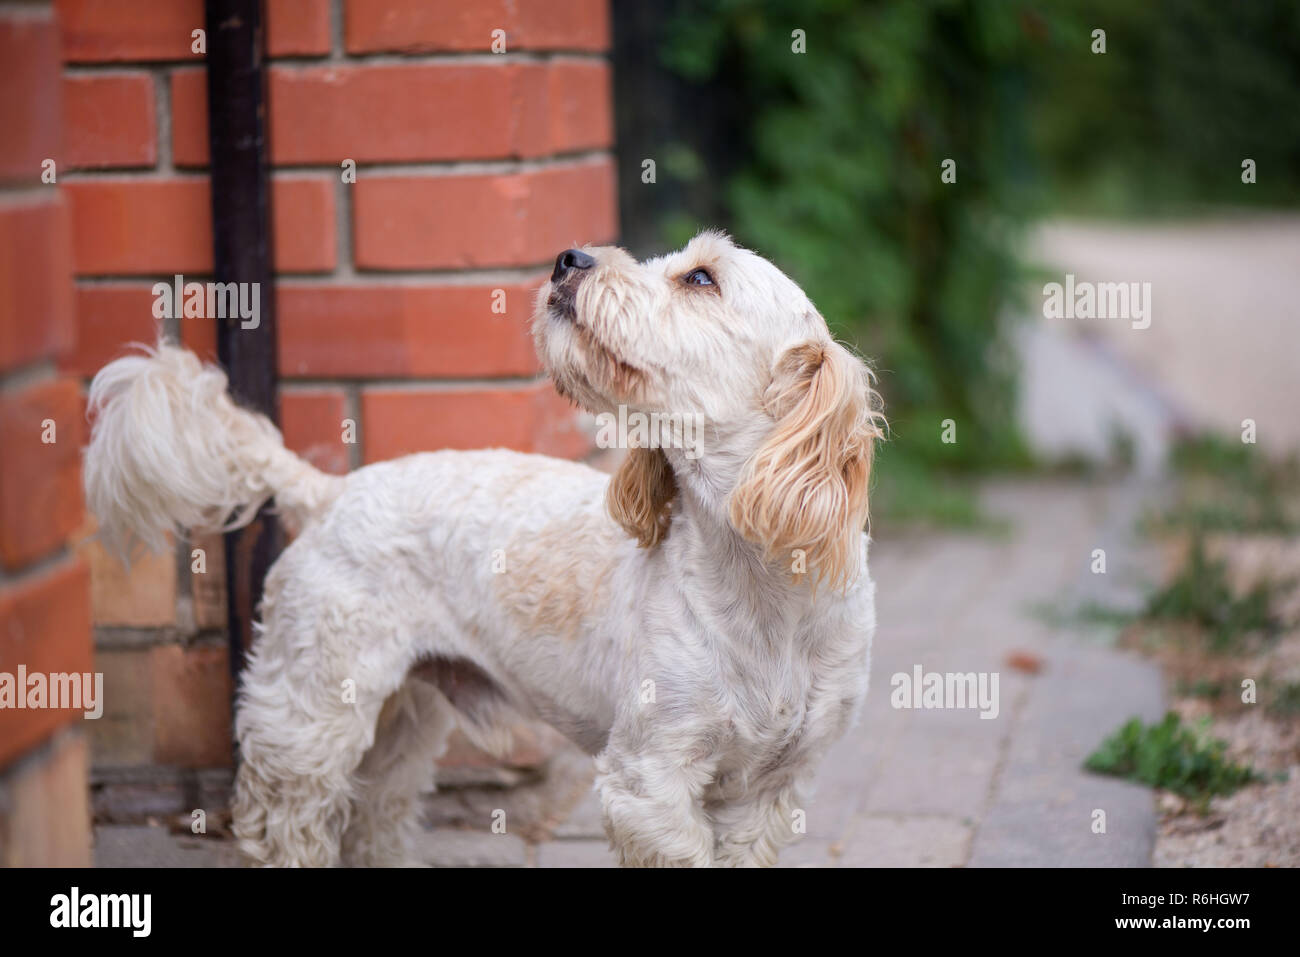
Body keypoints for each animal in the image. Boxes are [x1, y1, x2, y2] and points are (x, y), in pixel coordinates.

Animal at [81, 230, 883, 868]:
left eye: (701, 279)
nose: (569, 259)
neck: (761, 589)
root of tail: (328, 491)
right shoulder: (649, 778)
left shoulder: (770, 790)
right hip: (312, 713)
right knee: (288, 823)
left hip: (402, 724)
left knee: (376, 816)